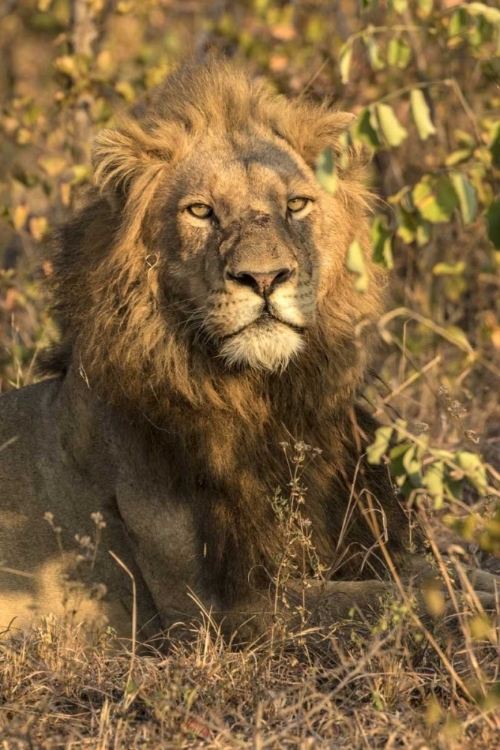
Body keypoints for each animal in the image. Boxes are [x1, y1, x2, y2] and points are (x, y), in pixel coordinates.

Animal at [0, 61, 494, 644]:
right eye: (200, 211)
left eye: (296, 204)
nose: (264, 278)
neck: (263, 399)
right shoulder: (214, 611)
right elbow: (378, 600)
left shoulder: (351, 538)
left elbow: (435, 572)